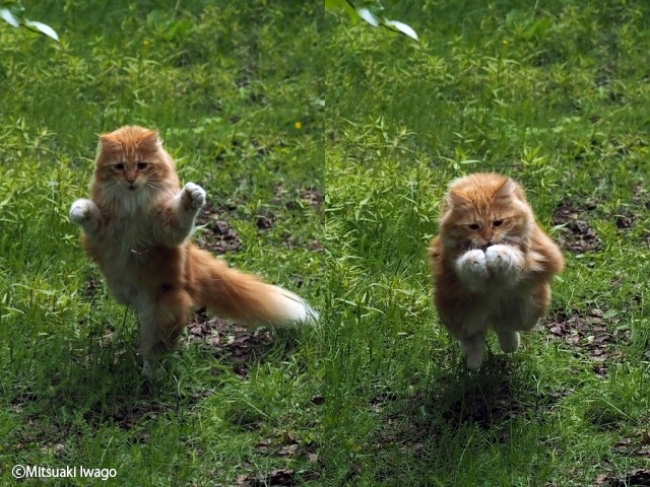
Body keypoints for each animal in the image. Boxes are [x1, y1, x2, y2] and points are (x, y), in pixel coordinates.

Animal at [69, 126, 318, 378]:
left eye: (141, 165)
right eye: (120, 167)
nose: (130, 181)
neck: (133, 206)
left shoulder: (166, 228)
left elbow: (182, 214)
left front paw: (191, 196)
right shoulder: (103, 231)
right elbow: (92, 214)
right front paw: (78, 209)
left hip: (162, 312)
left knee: (155, 348)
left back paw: (151, 374)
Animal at [426, 174, 560, 370]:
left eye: (498, 223)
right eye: (473, 226)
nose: (488, 239)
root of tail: (491, 316)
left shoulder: (532, 257)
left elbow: (511, 257)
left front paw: (496, 254)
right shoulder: (452, 267)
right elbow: (466, 263)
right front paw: (477, 260)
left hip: (527, 309)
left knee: (506, 330)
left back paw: (508, 347)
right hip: (459, 314)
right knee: (473, 339)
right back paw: (473, 365)